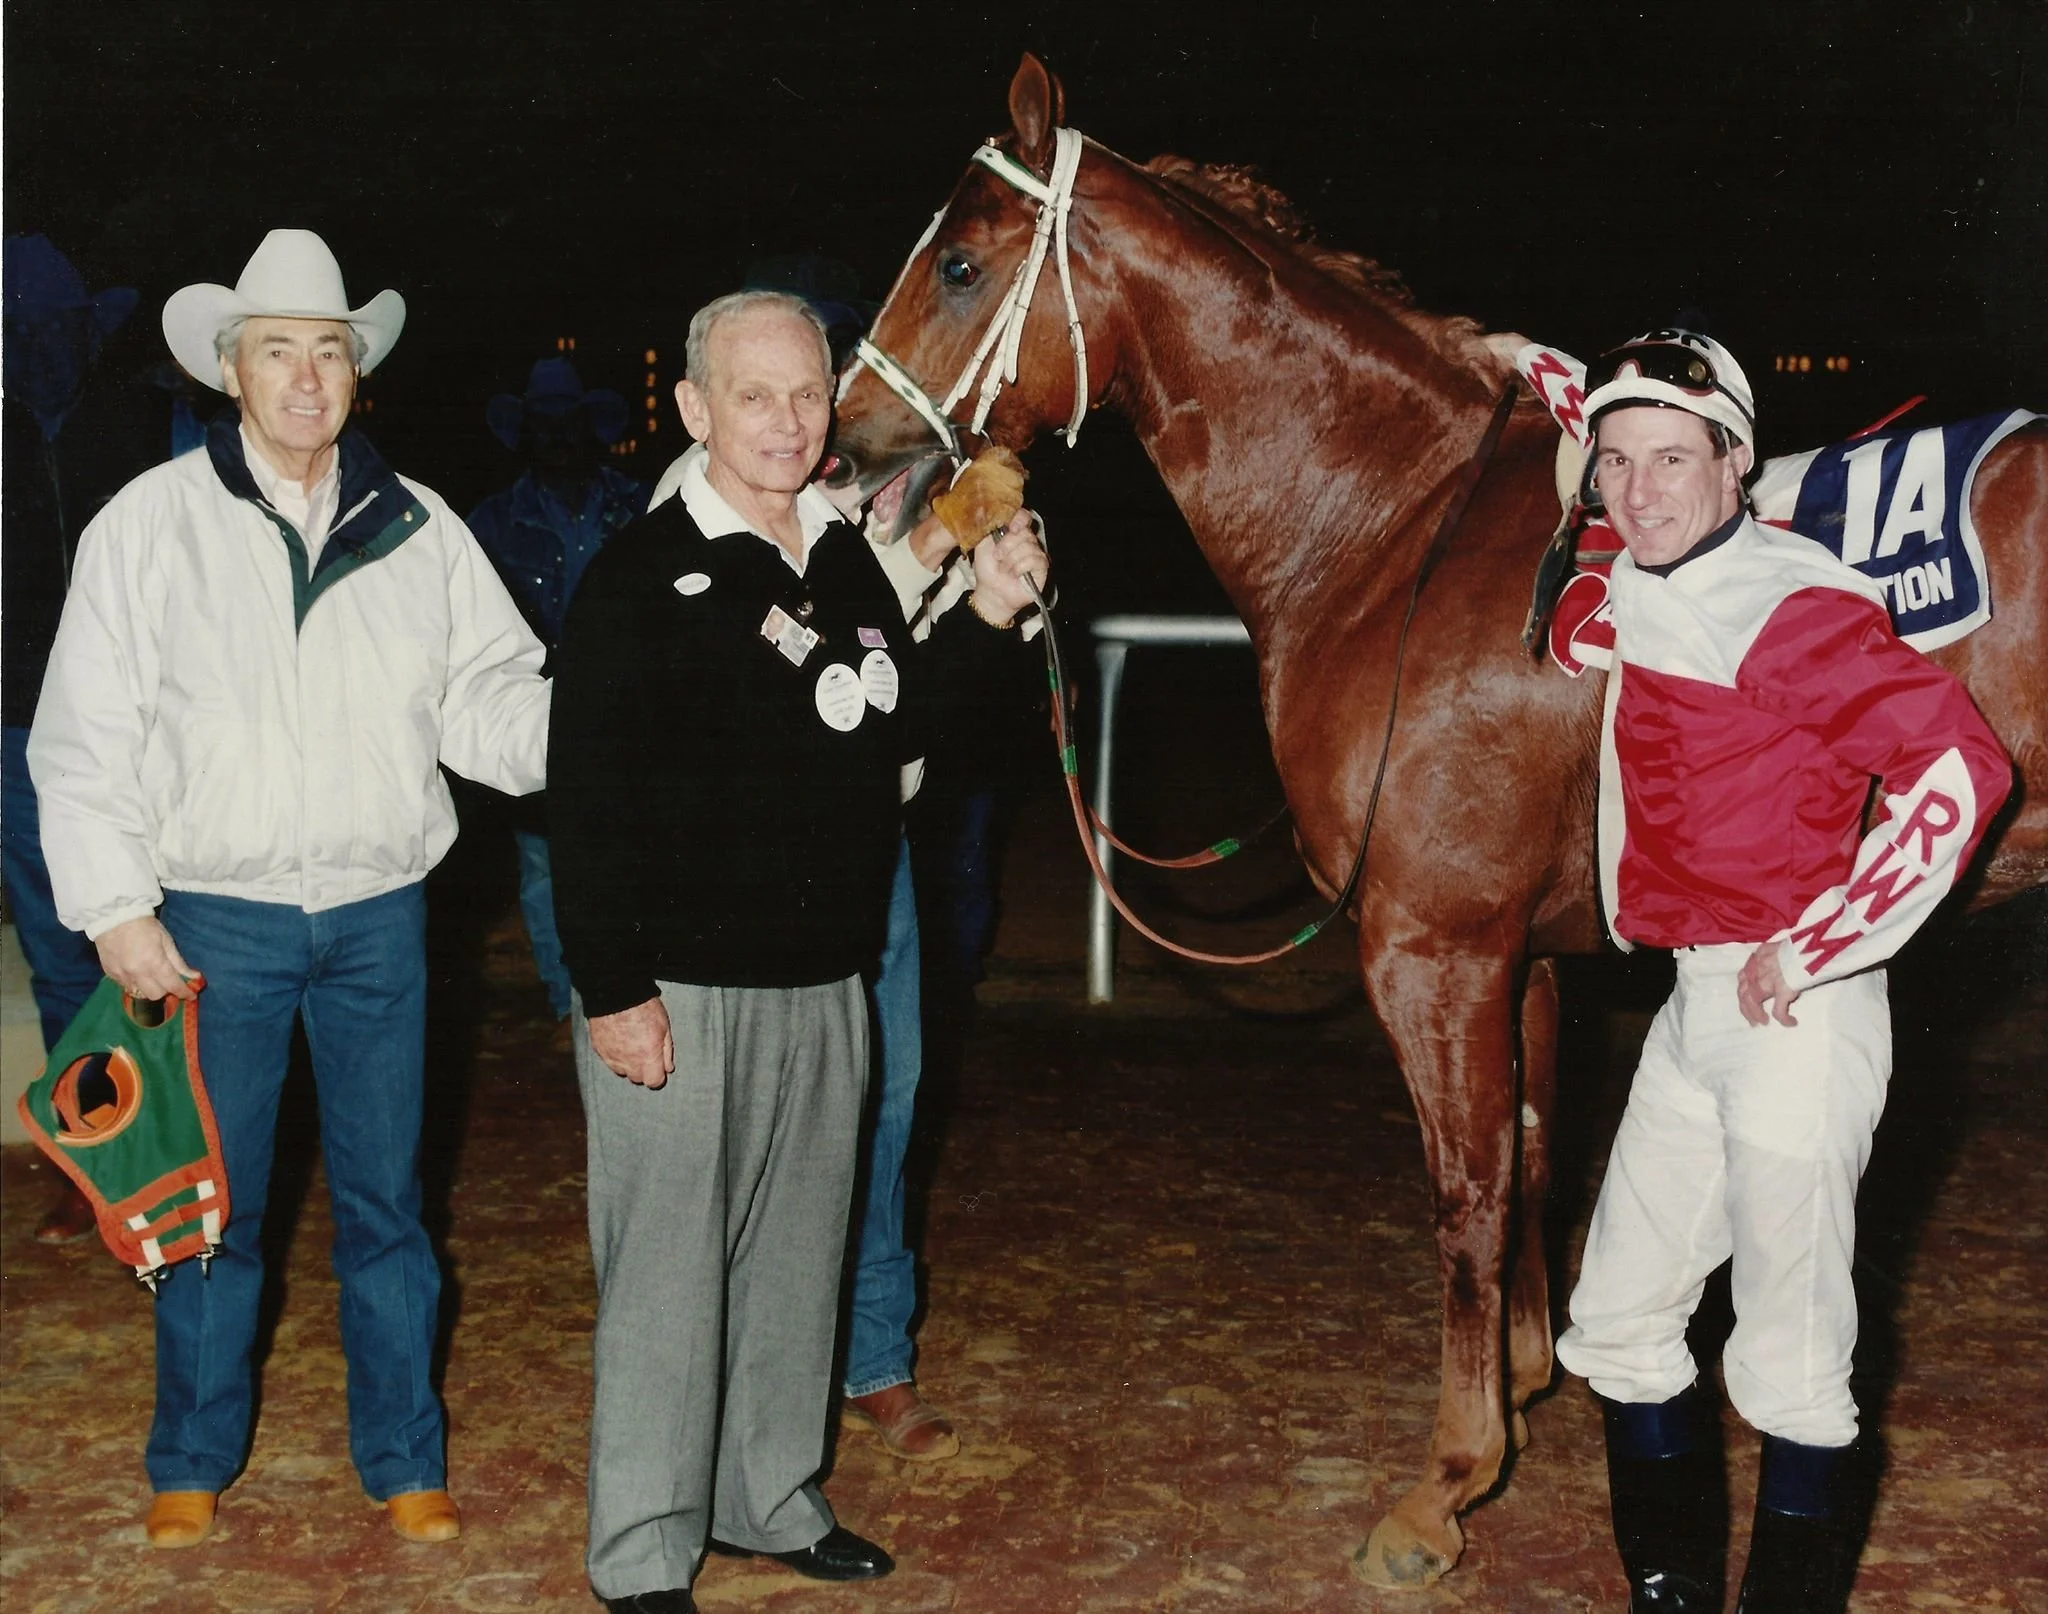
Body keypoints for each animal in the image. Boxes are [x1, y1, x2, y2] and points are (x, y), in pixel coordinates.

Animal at [825, 53, 2048, 1589]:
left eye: (960, 261)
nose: (839, 447)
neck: (1392, 531)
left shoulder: (1433, 948)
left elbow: (1464, 1192)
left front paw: (1444, 1483)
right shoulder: (1517, 955)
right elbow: (1525, 1154)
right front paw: (1521, 1384)